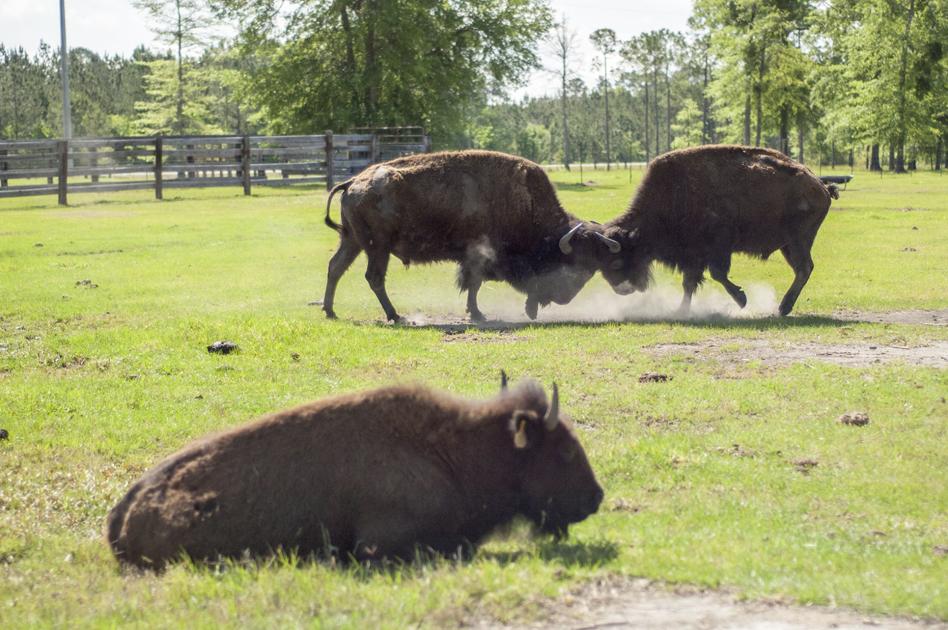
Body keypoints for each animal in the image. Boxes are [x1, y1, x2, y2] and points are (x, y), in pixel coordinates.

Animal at [322, 150, 619, 322]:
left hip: (352, 241)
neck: (524, 202)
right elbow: (474, 283)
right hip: (377, 247)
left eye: (593, 269)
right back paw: (395, 316)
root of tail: (353, 182)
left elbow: (474, 284)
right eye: (574, 264)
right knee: (373, 277)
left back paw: (330, 311)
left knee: (335, 268)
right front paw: (478, 314)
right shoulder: (479, 255)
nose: (564, 299)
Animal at [594, 145, 838, 316]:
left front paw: (742, 300)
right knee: (801, 270)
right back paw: (782, 308)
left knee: (804, 268)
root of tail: (821, 186)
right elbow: (690, 283)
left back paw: (782, 308)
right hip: (787, 245)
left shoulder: (717, 248)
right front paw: (682, 310)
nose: (622, 289)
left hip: (798, 241)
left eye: (616, 262)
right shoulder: (693, 256)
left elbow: (717, 274)